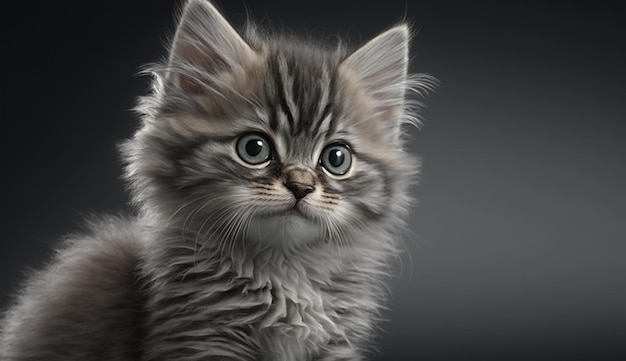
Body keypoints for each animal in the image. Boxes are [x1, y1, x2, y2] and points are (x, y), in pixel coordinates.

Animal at [0, 0, 432, 360]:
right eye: (254, 148)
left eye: (336, 158)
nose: (301, 185)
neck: (286, 272)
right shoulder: (199, 335)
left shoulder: (333, 344)